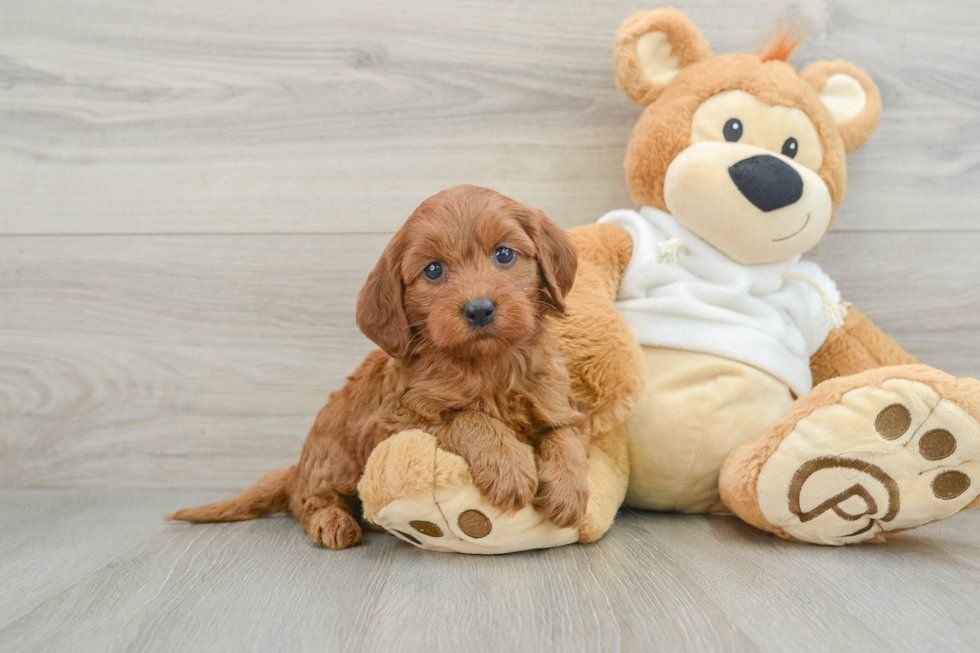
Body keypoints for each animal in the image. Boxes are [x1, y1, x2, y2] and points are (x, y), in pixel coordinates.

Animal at [168, 186, 588, 548]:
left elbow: (565, 437)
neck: (489, 364)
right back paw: (333, 523)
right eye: (433, 270)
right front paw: (509, 465)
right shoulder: (396, 420)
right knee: (308, 500)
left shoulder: (556, 401)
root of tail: (297, 468)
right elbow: (469, 417)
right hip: (333, 458)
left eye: (504, 254)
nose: (479, 309)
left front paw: (569, 491)